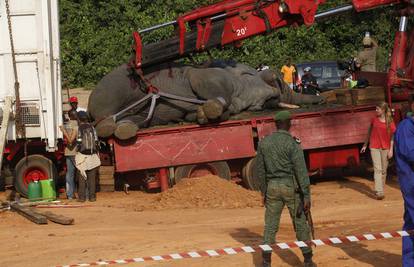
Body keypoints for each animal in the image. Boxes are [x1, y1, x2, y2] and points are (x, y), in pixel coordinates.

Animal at [88, 60, 326, 140]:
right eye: (279, 82)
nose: (322, 99)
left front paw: (201, 115)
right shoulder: (214, 74)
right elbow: (201, 79)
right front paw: (210, 109)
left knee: (141, 119)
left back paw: (125, 127)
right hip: (113, 87)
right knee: (103, 115)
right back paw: (109, 124)